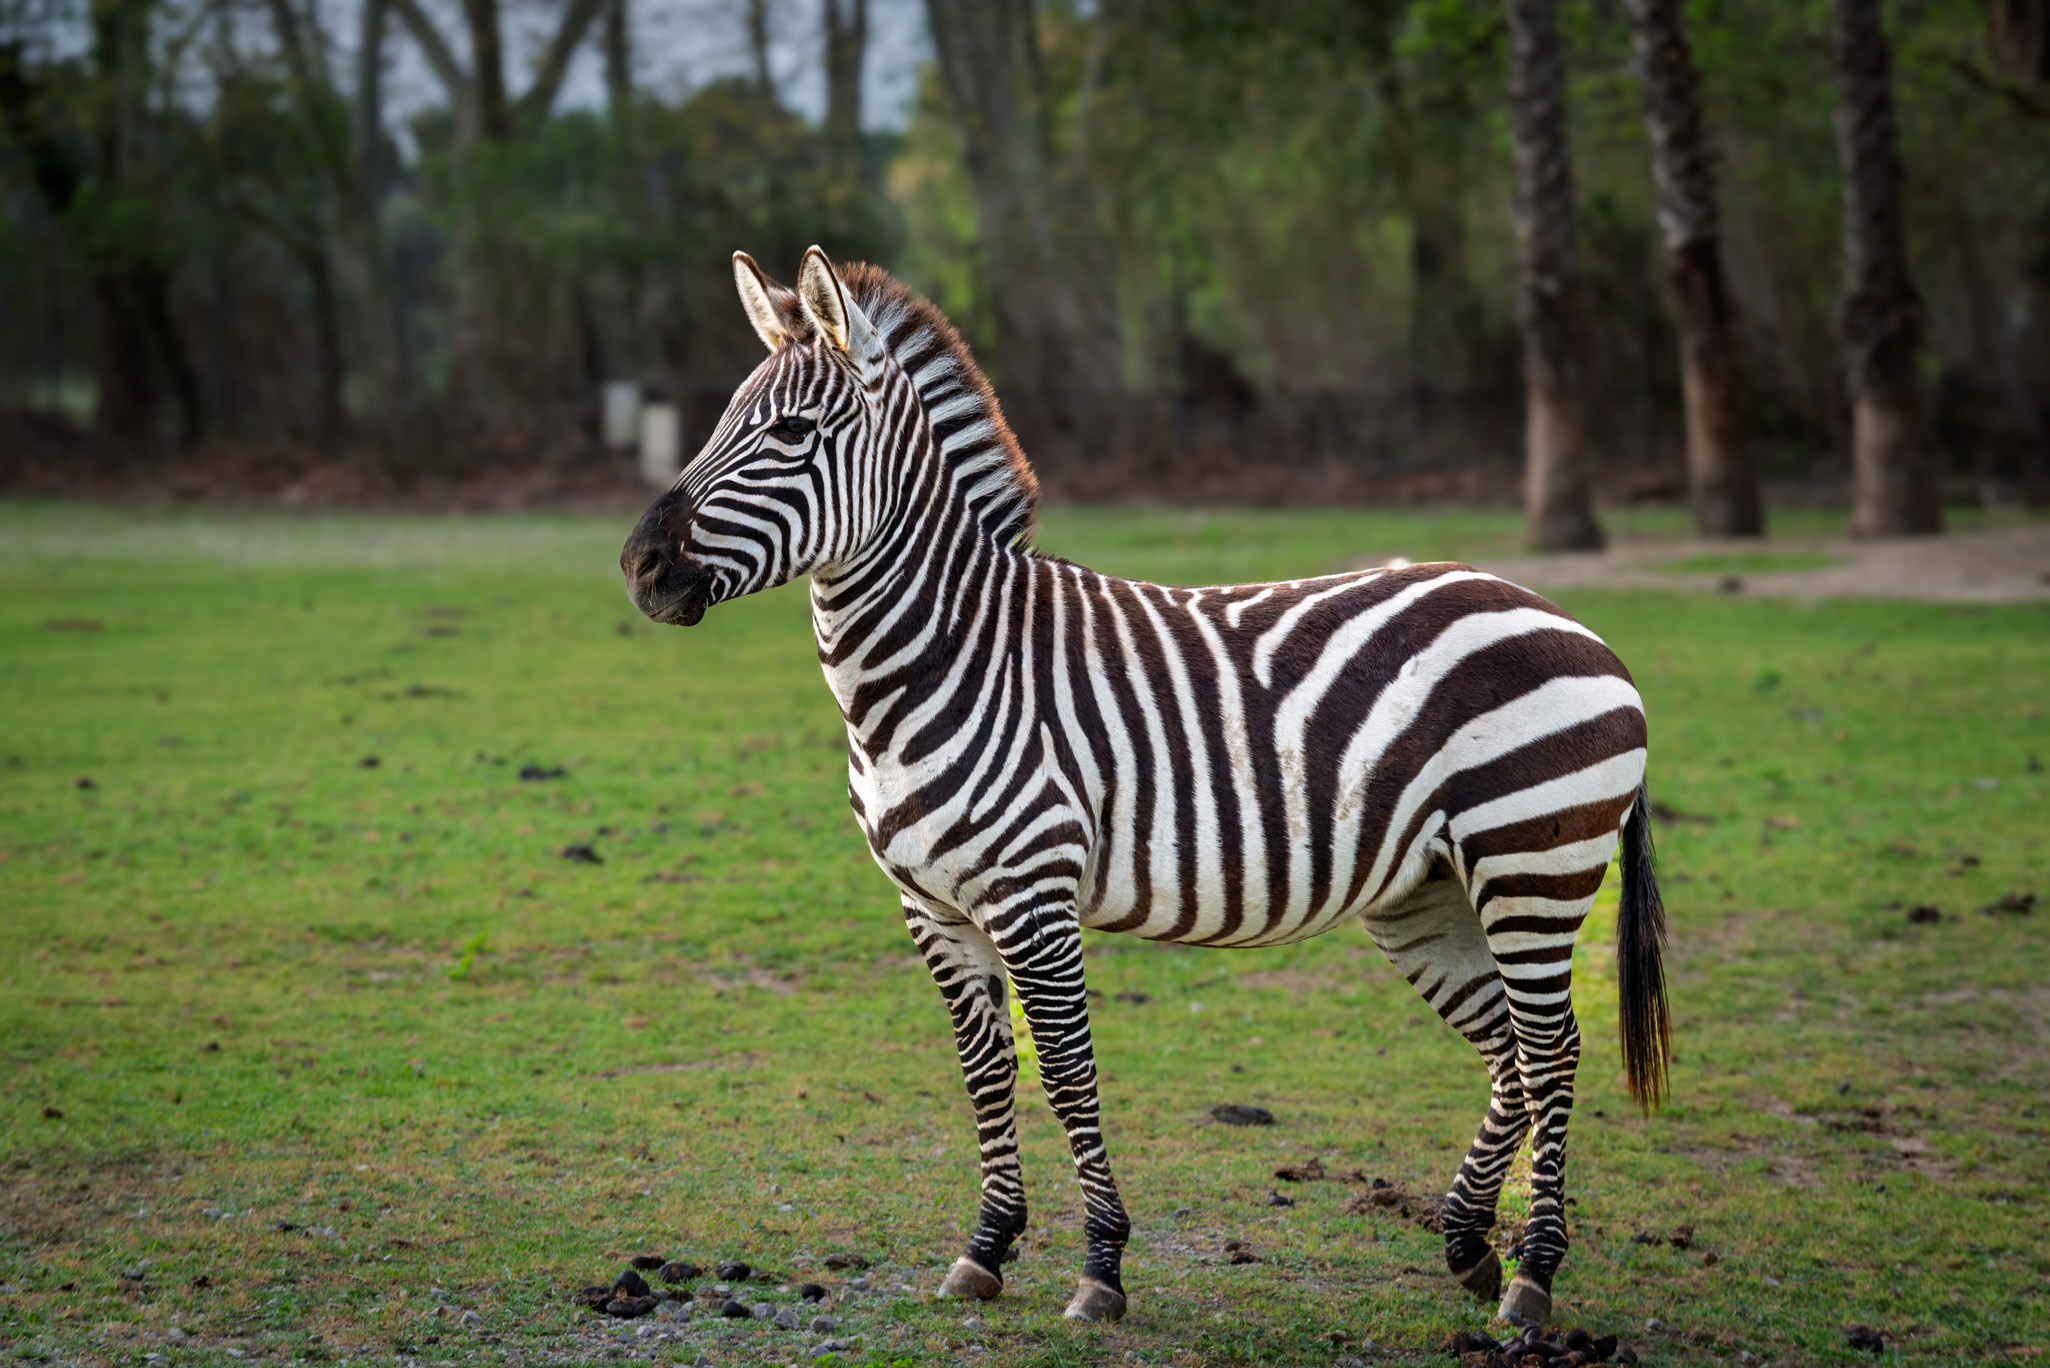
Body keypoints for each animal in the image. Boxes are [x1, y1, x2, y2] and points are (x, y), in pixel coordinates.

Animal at [620, 246, 1670, 1329]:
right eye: (717, 421)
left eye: (790, 432)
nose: (640, 568)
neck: (944, 660)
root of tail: (1571, 622)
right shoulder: (930, 907)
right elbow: (985, 1074)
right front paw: (985, 1248)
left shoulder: (1031, 896)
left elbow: (1066, 1074)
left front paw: (1100, 1268)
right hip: (1427, 891)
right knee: (1510, 1051)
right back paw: (1467, 1246)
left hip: (1531, 862)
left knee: (1553, 1051)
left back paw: (1533, 1275)